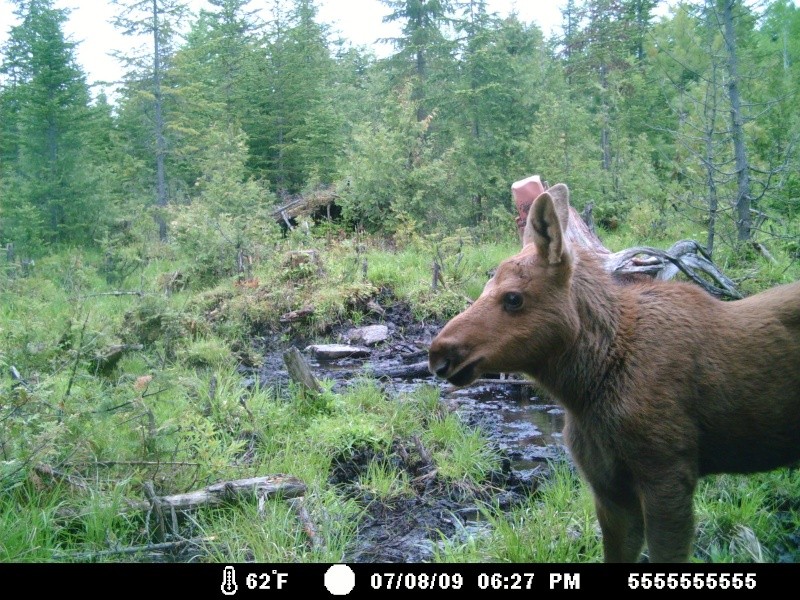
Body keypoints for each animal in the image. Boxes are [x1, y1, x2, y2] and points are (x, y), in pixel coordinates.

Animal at [428, 183, 800, 564]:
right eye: (485, 287)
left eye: (513, 298)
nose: (438, 352)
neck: (587, 388)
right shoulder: (607, 485)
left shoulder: (669, 471)